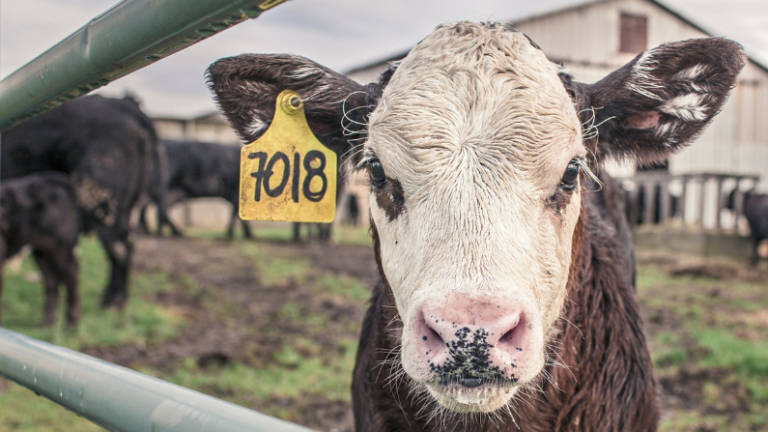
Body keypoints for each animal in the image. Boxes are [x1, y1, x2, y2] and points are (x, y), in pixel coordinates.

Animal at [0, 172, 80, 324]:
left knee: (71, 273)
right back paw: (48, 322)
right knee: (51, 280)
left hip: (61, 246)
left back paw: (71, 323)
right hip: (41, 250)